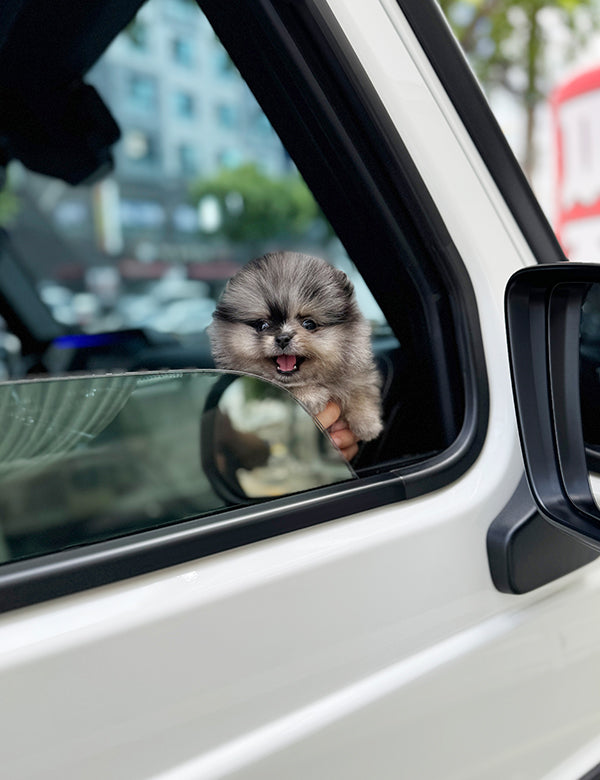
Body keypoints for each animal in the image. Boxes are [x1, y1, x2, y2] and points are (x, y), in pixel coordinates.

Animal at [209, 253, 382, 442]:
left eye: (309, 324)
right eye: (262, 325)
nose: (283, 338)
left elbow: (359, 388)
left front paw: (367, 422)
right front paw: (309, 394)